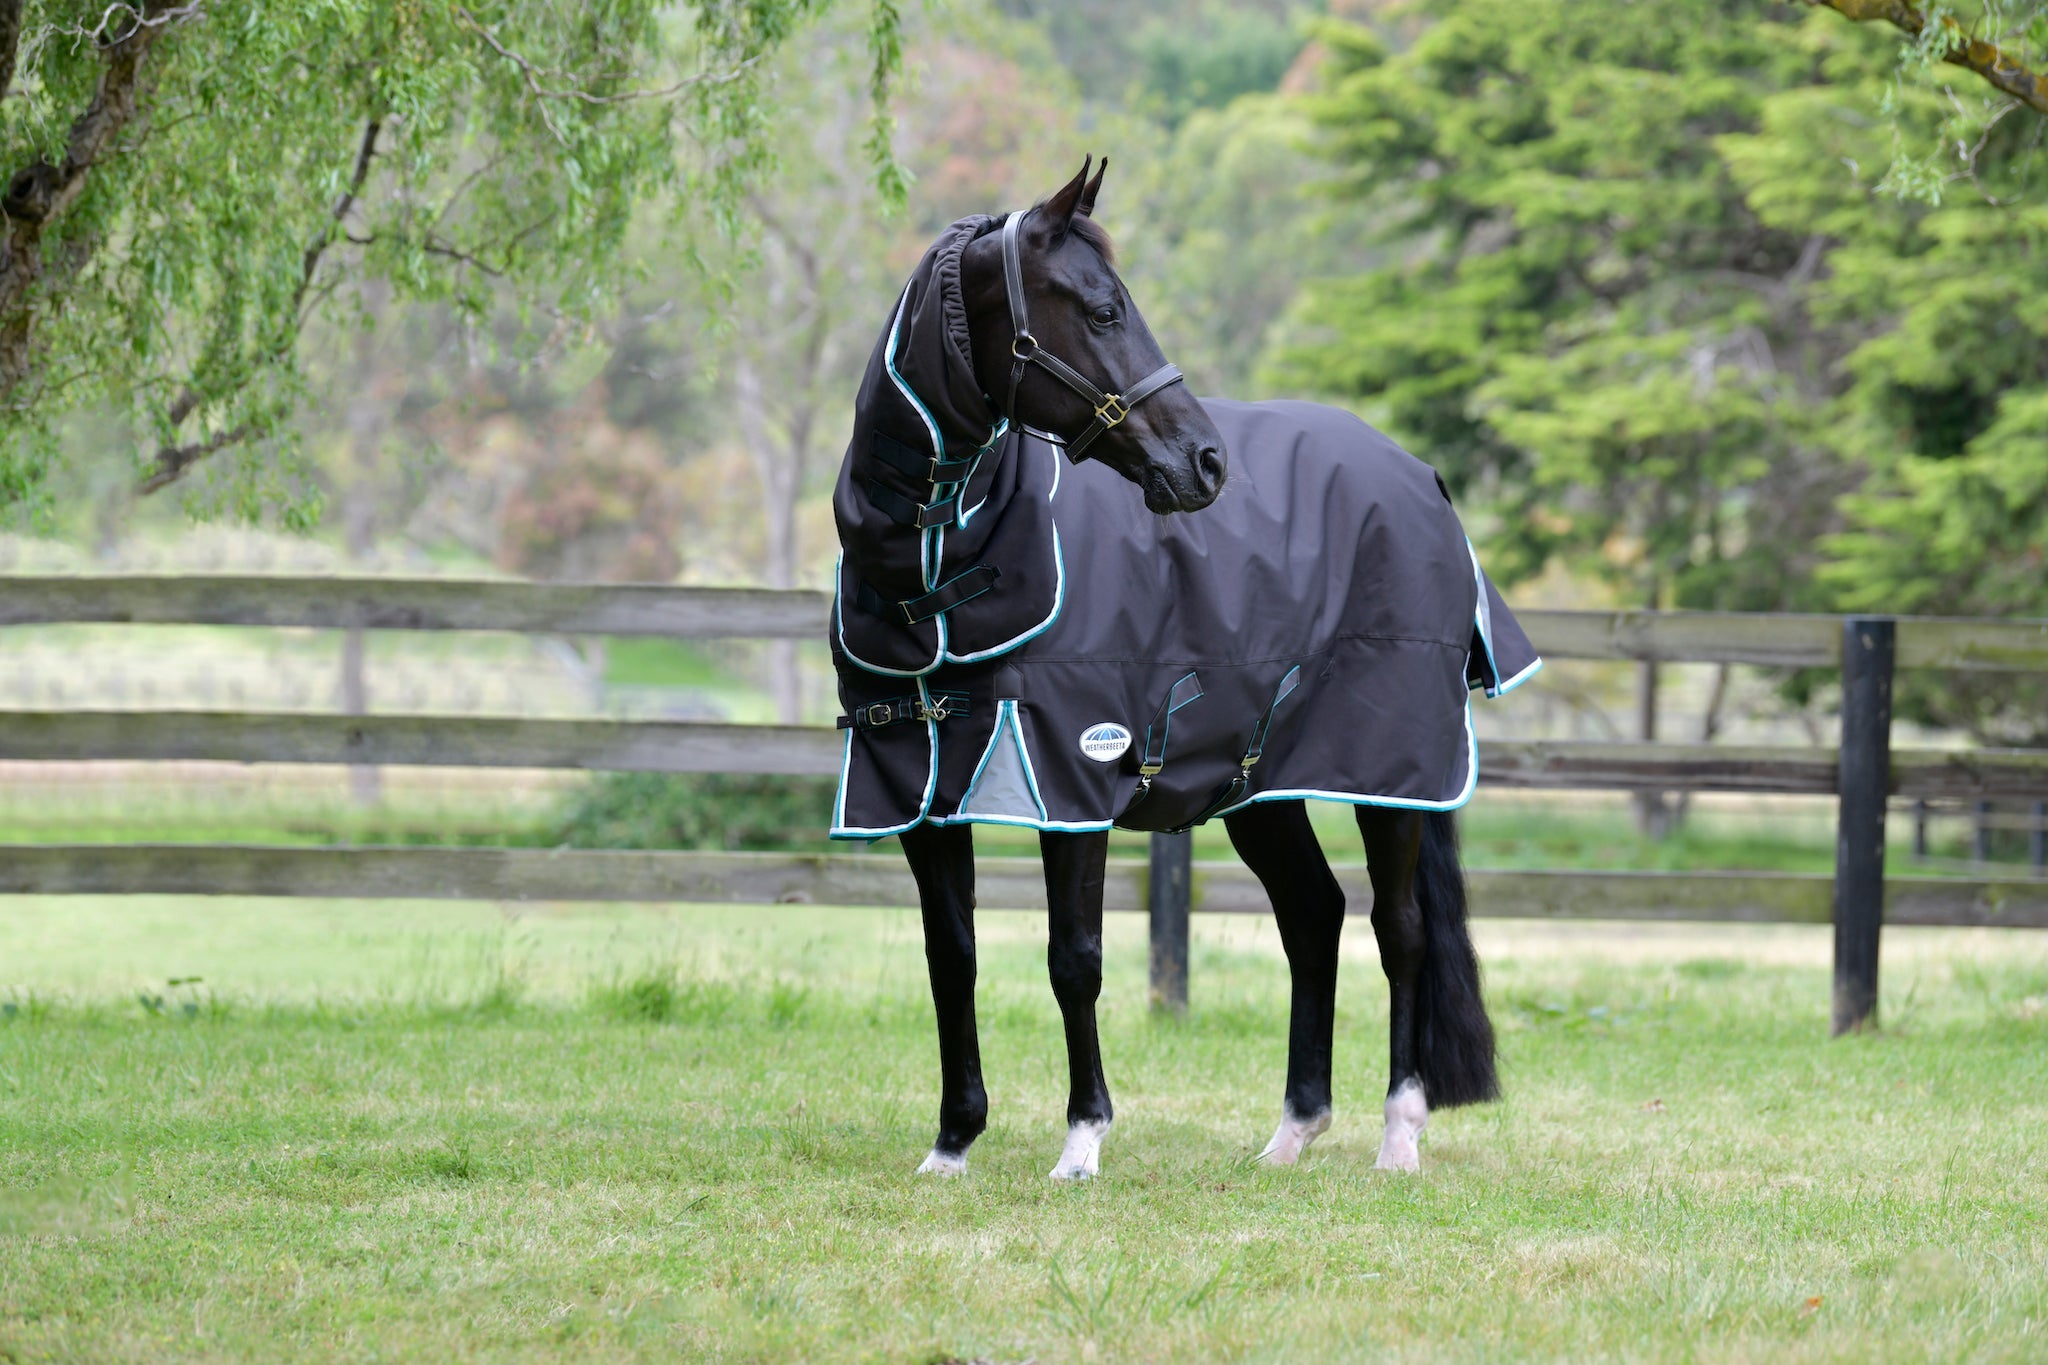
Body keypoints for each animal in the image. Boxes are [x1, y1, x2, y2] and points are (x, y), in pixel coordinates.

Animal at [827, 158, 1539, 1180]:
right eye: (1102, 310)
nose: (1205, 462)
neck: (938, 562)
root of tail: (1423, 479)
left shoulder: (1074, 773)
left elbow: (1074, 959)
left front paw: (1082, 1141)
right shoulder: (916, 788)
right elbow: (950, 957)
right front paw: (952, 1144)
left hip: (1391, 774)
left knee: (1397, 930)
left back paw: (1399, 1135)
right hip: (1262, 785)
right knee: (1313, 916)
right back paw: (1291, 1132)